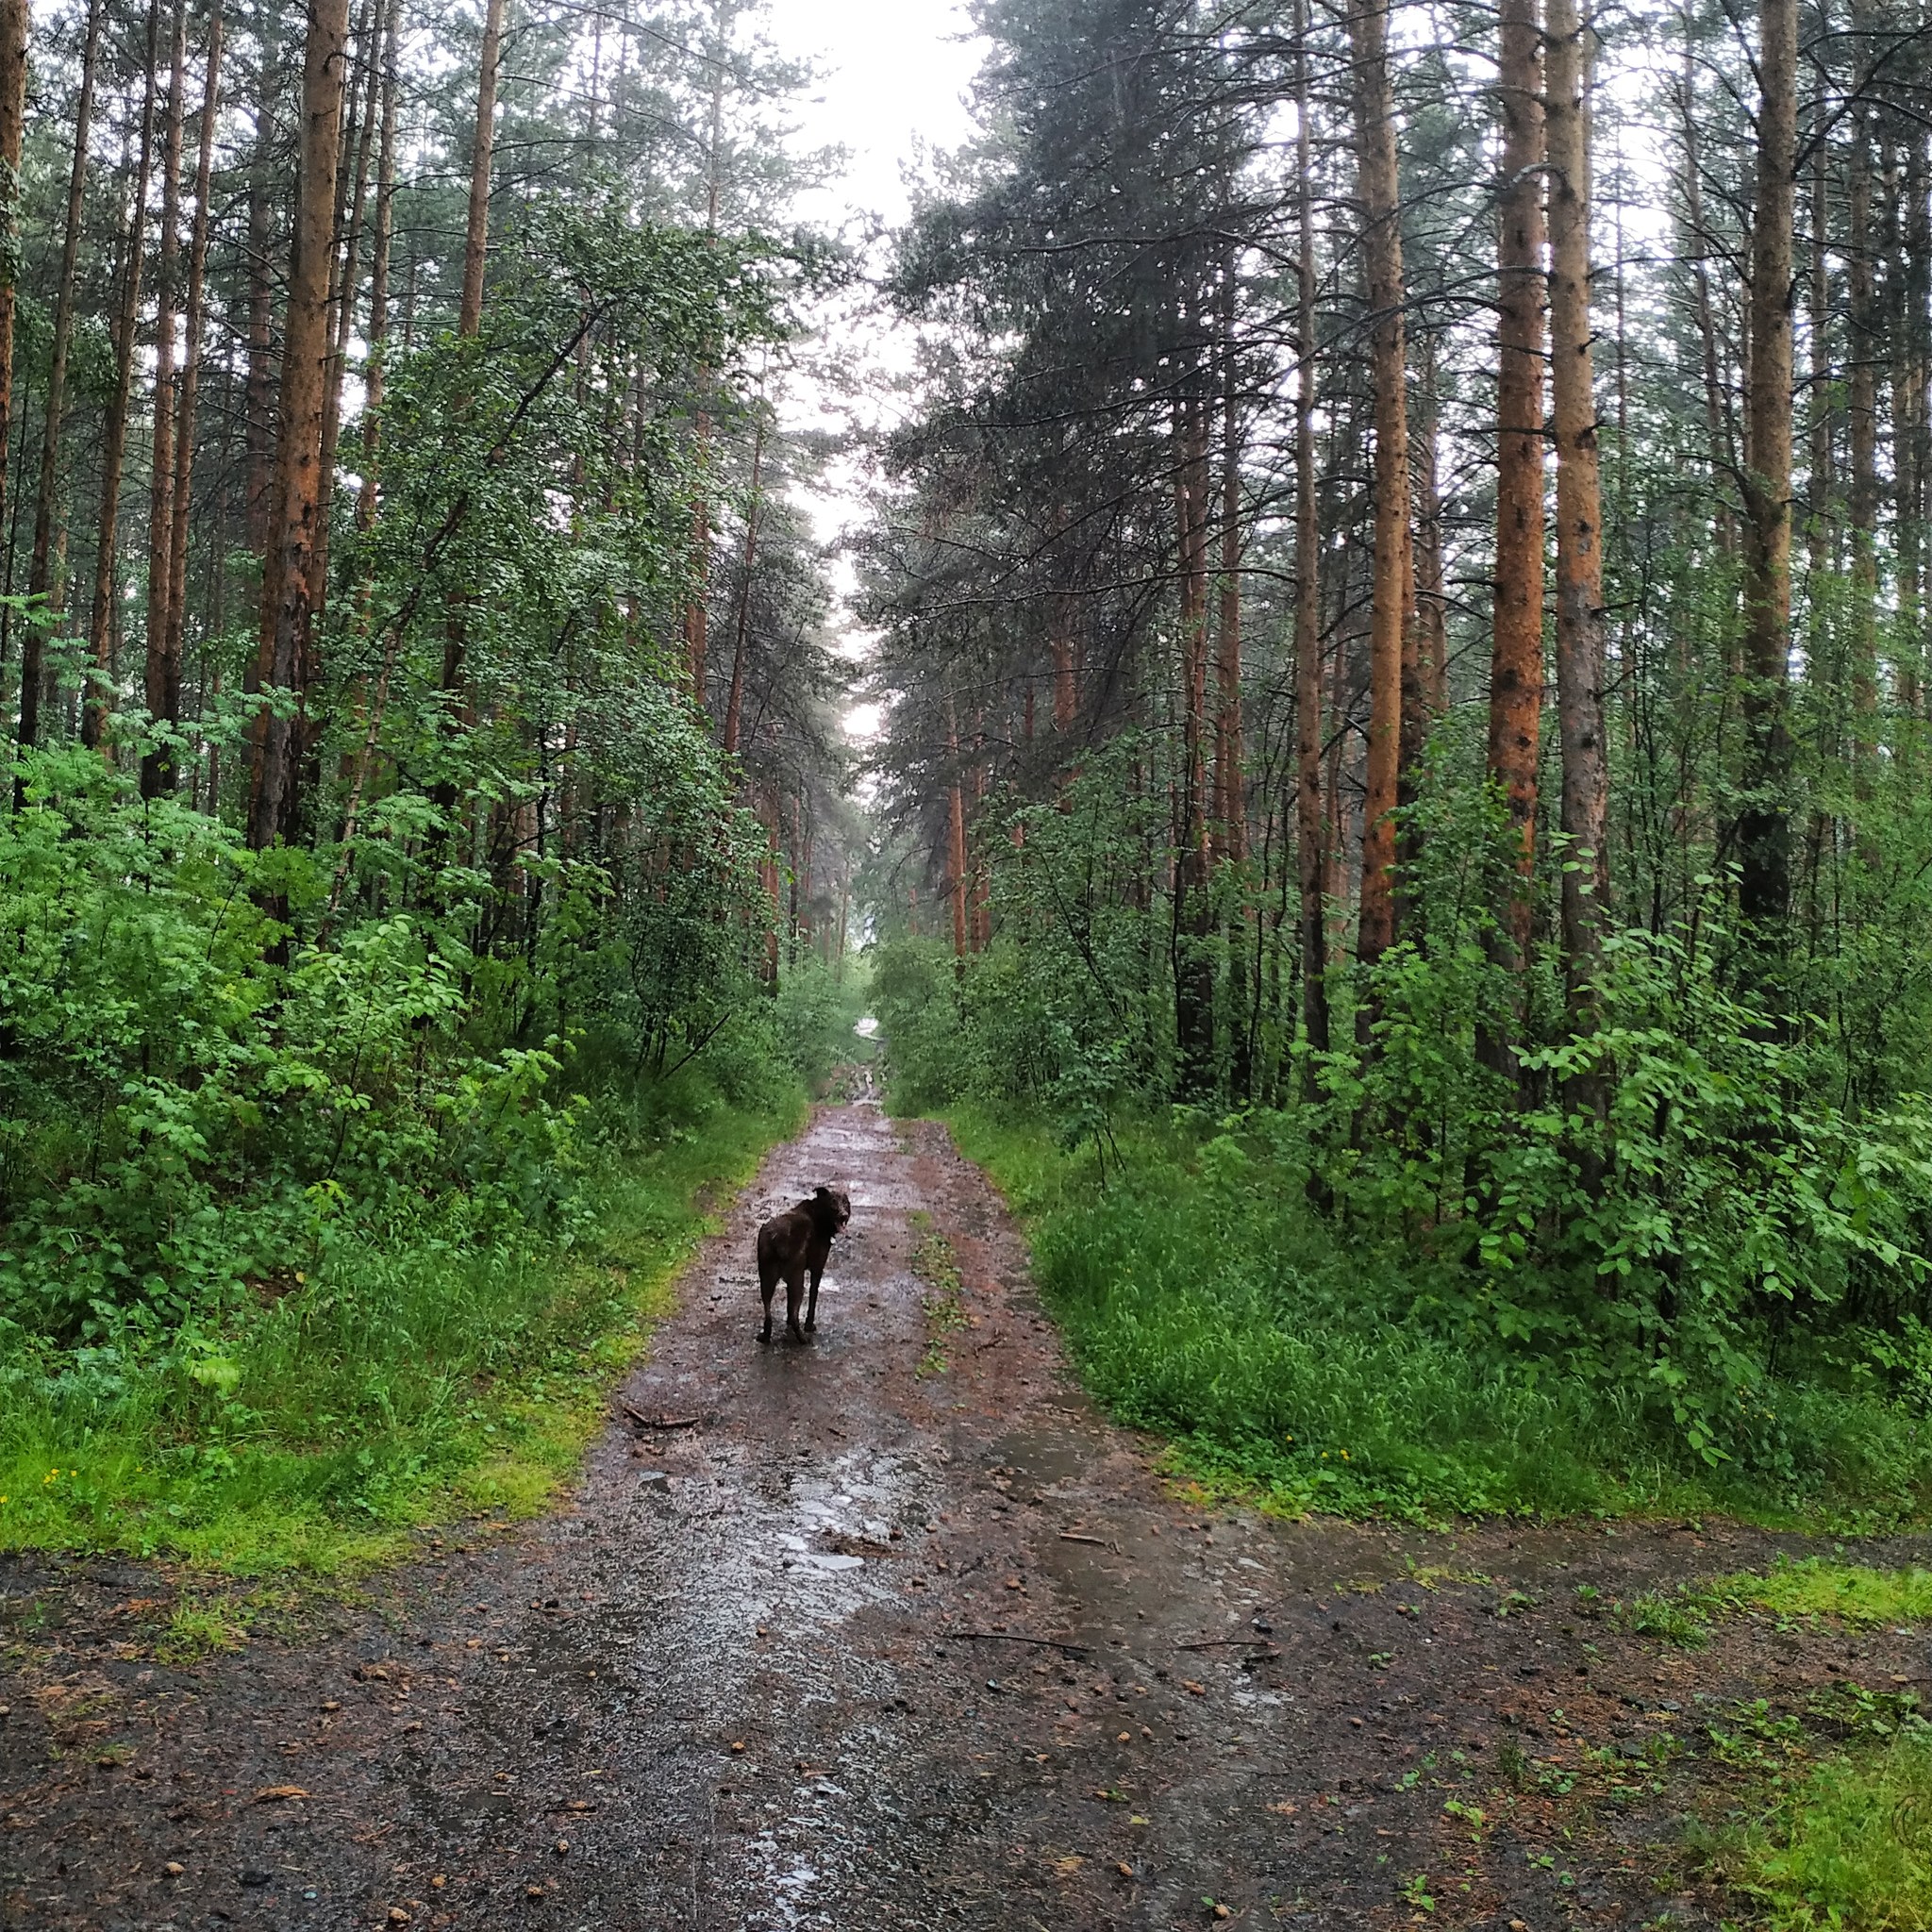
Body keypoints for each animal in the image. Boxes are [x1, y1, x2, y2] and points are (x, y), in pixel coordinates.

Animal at [749, 1174, 850, 1344]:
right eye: (832, 1203)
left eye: (845, 1203)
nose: (844, 1215)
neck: (818, 1215)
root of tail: (777, 1237)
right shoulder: (817, 1269)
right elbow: (813, 1298)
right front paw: (809, 1325)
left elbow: (789, 1306)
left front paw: (788, 1320)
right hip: (797, 1279)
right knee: (796, 1314)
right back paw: (803, 1338)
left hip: (767, 1278)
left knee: (768, 1312)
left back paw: (766, 1336)